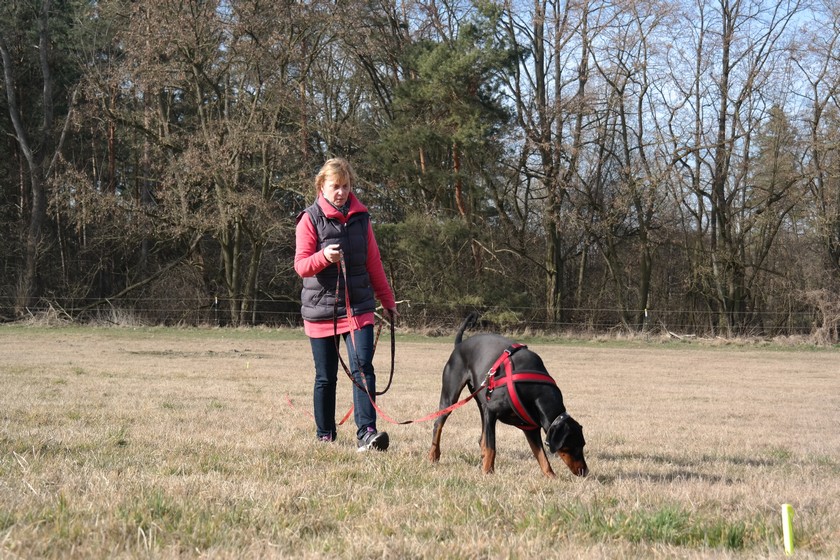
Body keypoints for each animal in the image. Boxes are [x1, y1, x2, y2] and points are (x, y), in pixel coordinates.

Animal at [430, 316, 588, 476]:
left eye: (583, 445)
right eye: (573, 445)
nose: (585, 472)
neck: (534, 391)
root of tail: (459, 345)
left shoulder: (530, 428)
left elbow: (542, 457)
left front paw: (551, 476)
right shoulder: (492, 412)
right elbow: (492, 447)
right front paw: (487, 472)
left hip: (481, 403)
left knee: (482, 437)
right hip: (451, 397)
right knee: (438, 424)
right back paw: (434, 455)